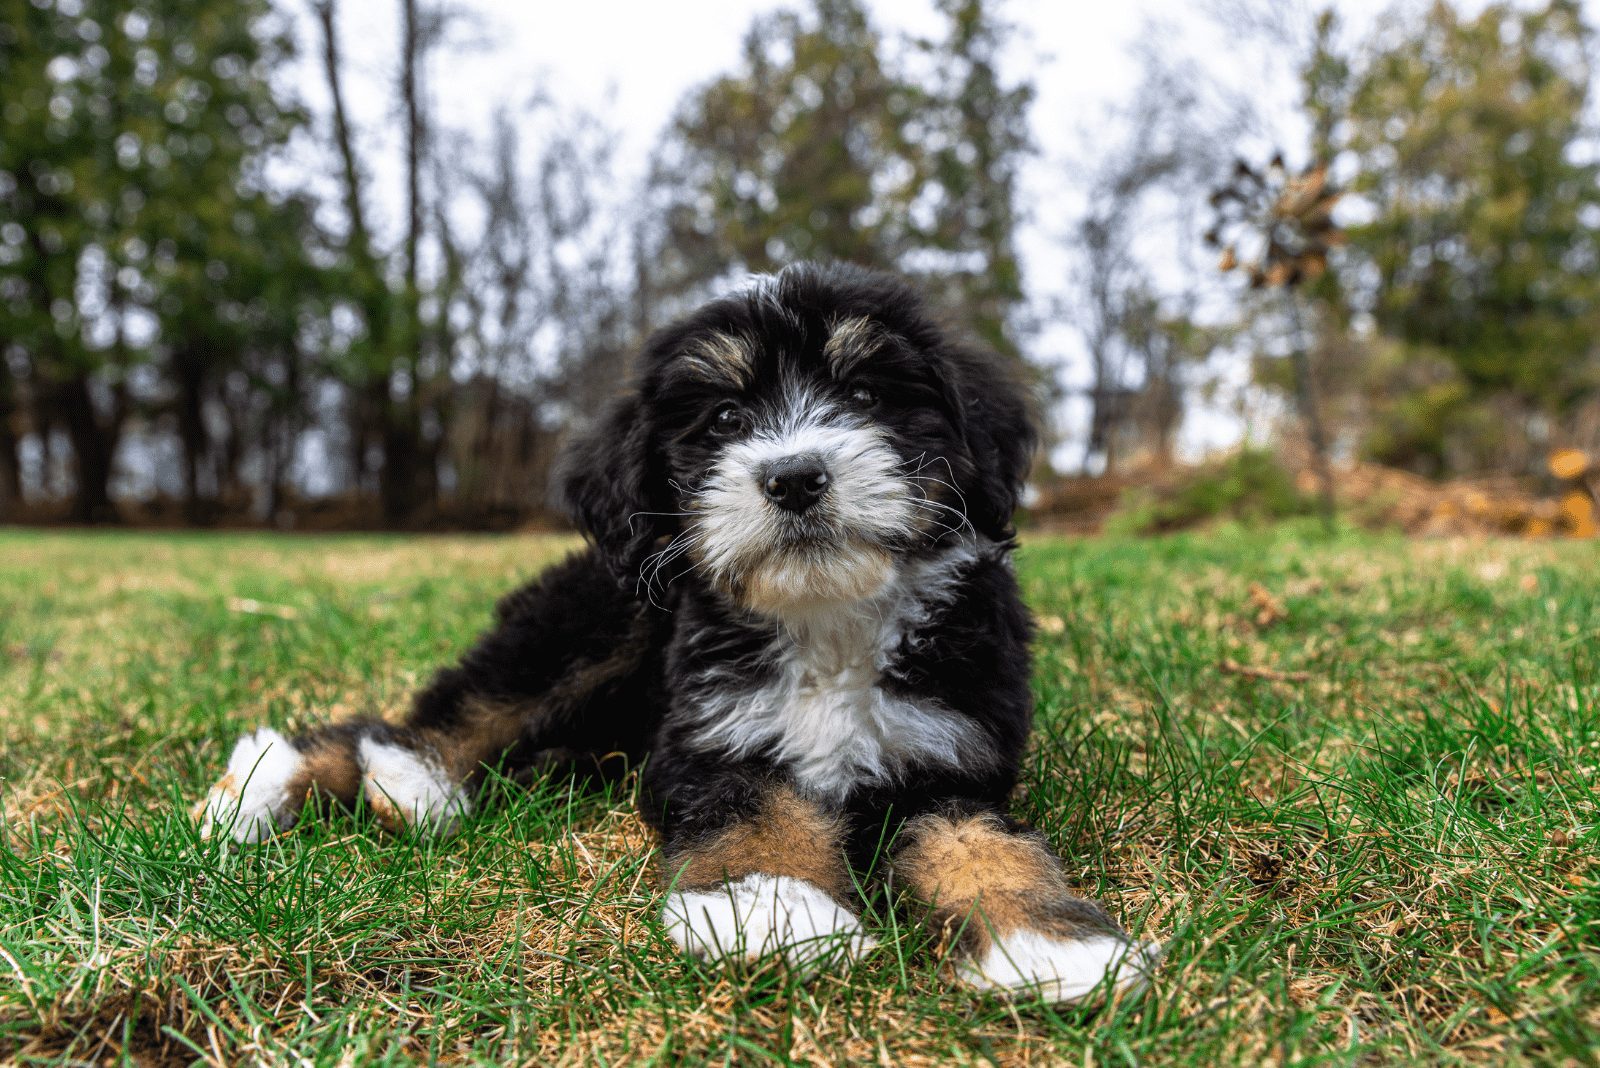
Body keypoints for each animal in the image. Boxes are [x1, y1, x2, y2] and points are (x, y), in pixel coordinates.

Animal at [193, 262, 1158, 1004]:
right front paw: (771, 909)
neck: (827, 620)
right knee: (440, 712)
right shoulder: (710, 739)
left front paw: (1048, 941)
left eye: (864, 395)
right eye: (725, 420)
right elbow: (756, 806)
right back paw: (321, 781)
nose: (795, 476)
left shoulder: (950, 753)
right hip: (598, 616)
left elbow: (982, 841)